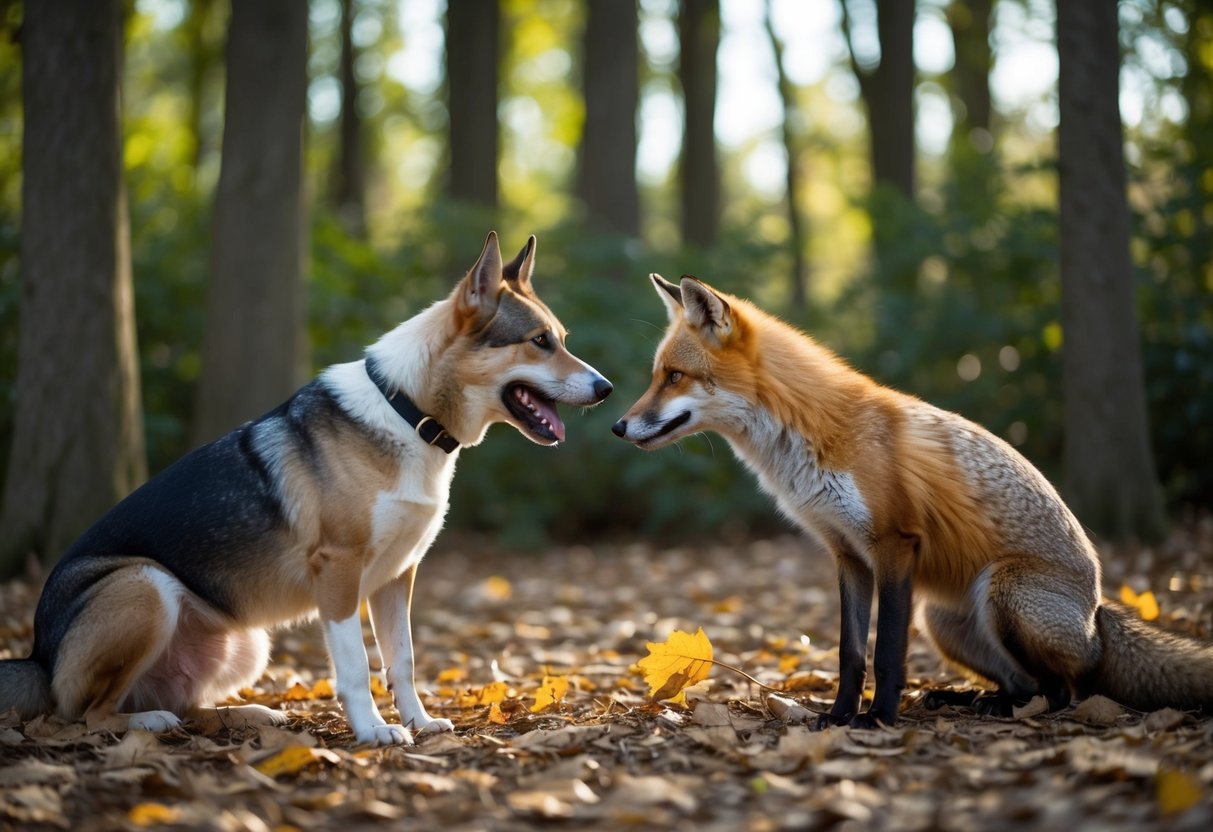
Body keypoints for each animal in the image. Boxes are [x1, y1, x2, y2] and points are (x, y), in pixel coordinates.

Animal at [0, 232, 612, 744]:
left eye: (561, 339)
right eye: (538, 342)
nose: (606, 389)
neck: (407, 411)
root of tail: (38, 656)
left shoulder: (397, 575)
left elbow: (403, 660)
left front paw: (419, 722)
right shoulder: (338, 572)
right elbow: (356, 666)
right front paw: (374, 732)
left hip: (248, 643)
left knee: (186, 703)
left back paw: (246, 714)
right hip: (145, 586)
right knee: (84, 713)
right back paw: (149, 722)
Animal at [612, 273, 1213, 728]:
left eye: (674, 376)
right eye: (657, 376)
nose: (618, 426)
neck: (810, 435)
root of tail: (1098, 610)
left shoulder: (894, 544)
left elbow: (887, 652)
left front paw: (877, 718)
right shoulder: (847, 555)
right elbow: (850, 652)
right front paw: (839, 716)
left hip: (1004, 593)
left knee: (1067, 689)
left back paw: (1005, 709)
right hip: (944, 618)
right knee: (1024, 682)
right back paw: (970, 698)